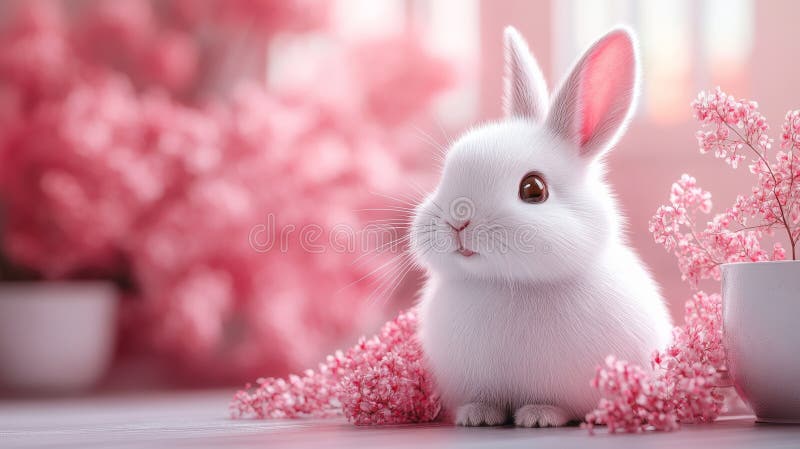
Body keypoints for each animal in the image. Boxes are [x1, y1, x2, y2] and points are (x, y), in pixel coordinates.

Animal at [409, 26, 673, 427]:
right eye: (446, 175)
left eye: (533, 189)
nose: (458, 220)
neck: (510, 284)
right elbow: (484, 400)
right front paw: (477, 416)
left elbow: (554, 404)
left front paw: (538, 417)